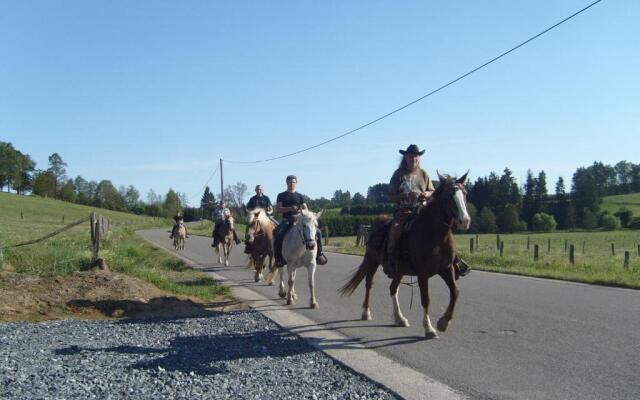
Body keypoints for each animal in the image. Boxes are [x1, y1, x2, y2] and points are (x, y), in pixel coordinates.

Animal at [340, 172, 470, 338]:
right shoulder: (423, 273)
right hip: (372, 262)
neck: (436, 235)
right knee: (369, 285)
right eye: (449, 195)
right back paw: (366, 312)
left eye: (465, 193)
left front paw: (444, 322)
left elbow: (455, 293)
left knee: (393, 288)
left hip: (399, 270)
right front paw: (429, 328)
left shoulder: (446, 269)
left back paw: (400, 318)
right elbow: (426, 299)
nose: (464, 221)